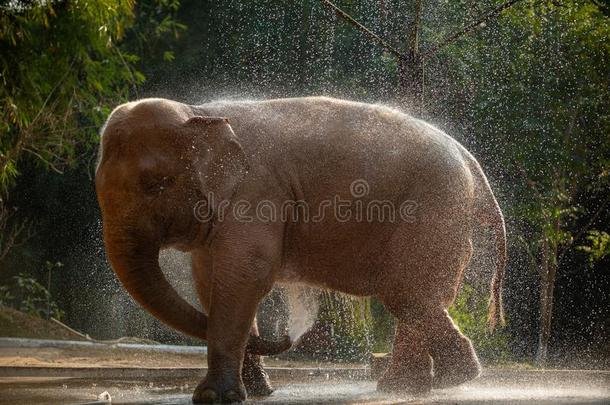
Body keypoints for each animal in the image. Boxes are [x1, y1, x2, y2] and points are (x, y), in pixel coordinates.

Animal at [95, 96, 504, 402]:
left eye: (156, 184)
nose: (290, 333)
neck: (201, 115)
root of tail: (471, 162)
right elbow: (210, 282)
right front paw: (256, 393)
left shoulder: (257, 192)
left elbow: (243, 276)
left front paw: (214, 398)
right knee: (414, 295)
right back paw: (407, 387)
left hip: (433, 212)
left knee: (405, 291)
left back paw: (455, 377)